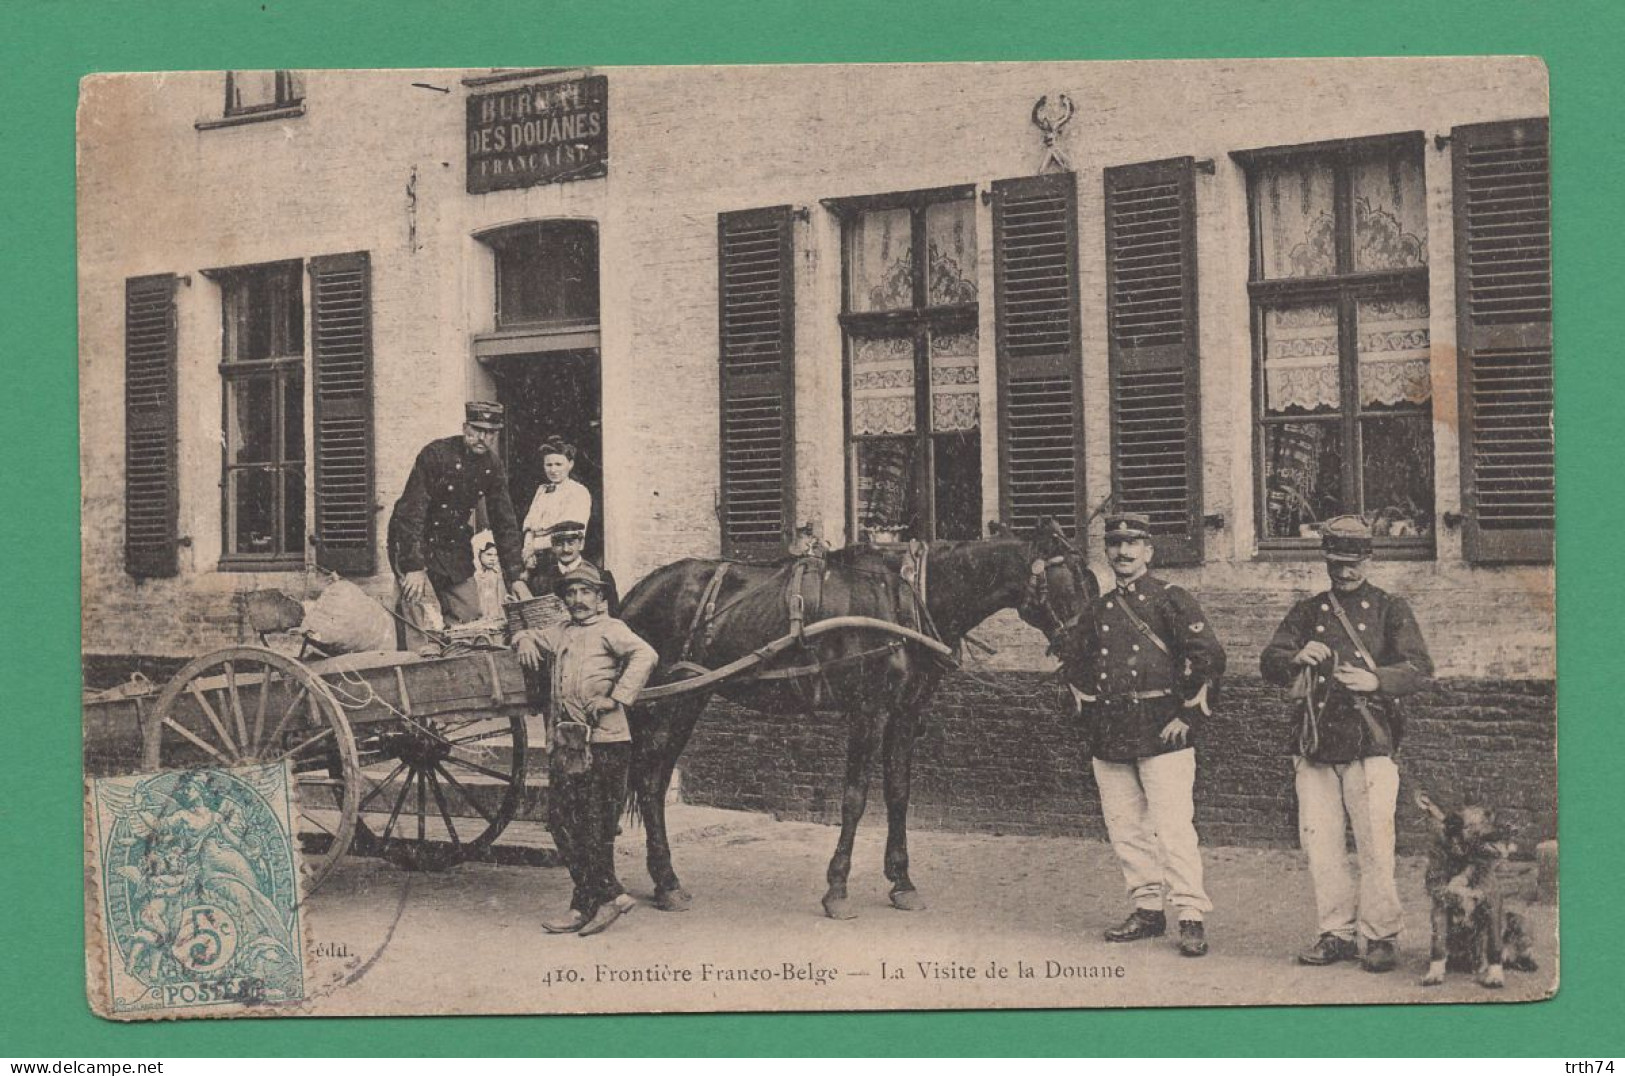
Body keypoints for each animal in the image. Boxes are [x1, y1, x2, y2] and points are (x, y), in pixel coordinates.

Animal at [614, 523, 1098, 916]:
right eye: (1073, 582)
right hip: (670, 703)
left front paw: (902, 882)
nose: (1086, 651)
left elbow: (899, 793)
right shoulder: (868, 711)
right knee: (648, 781)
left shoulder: (905, 713)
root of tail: (634, 595)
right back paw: (665, 882)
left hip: (688, 699)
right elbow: (855, 798)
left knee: (651, 781)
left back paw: (663, 883)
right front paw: (837, 889)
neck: (906, 600)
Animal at [1417, 789, 1540, 988]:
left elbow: (1494, 946)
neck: (1465, 861)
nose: (1514, 828)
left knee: (1515, 951)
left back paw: (1524, 962)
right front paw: (1434, 973)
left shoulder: (1492, 906)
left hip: (1519, 920)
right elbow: (1438, 945)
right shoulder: (1439, 907)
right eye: (1486, 816)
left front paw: (1495, 976)